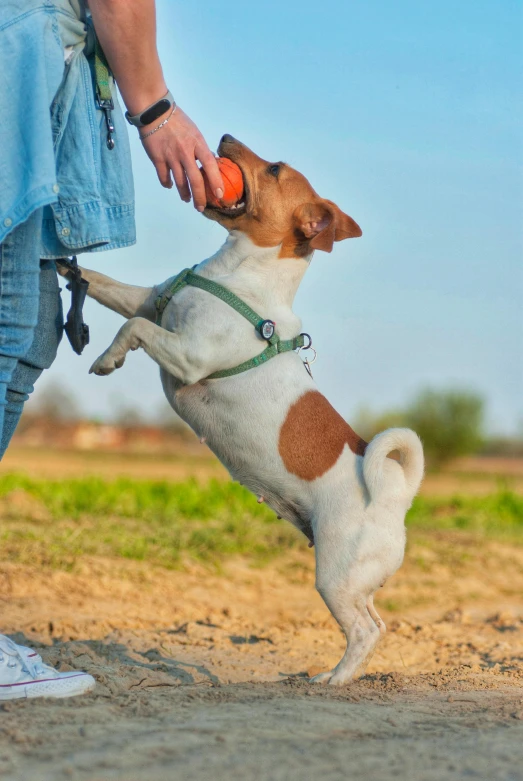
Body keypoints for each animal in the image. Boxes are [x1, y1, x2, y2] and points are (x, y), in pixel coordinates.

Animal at [58, 136, 426, 684]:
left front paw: (107, 358)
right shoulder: (147, 300)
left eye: (273, 168)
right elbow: (104, 284)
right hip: (354, 579)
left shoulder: (187, 356)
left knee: (365, 631)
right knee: (377, 621)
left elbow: (134, 330)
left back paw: (334, 680)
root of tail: (398, 491)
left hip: (336, 575)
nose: (224, 138)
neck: (237, 274)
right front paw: (63, 264)